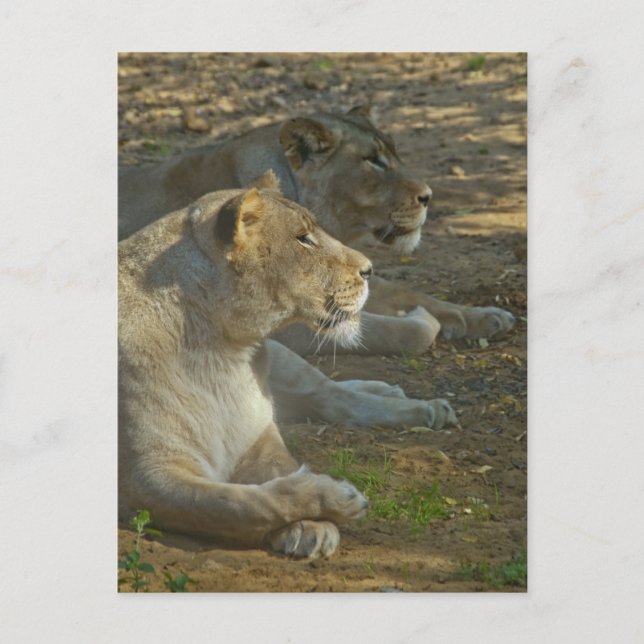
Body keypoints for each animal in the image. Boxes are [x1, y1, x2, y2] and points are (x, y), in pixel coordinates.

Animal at [119, 176, 457, 556]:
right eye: (303, 239)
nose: (370, 269)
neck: (219, 353)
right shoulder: (148, 476)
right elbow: (241, 504)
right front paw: (334, 500)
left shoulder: (261, 436)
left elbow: (280, 473)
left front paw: (313, 521)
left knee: (330, 394)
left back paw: (424, 407)